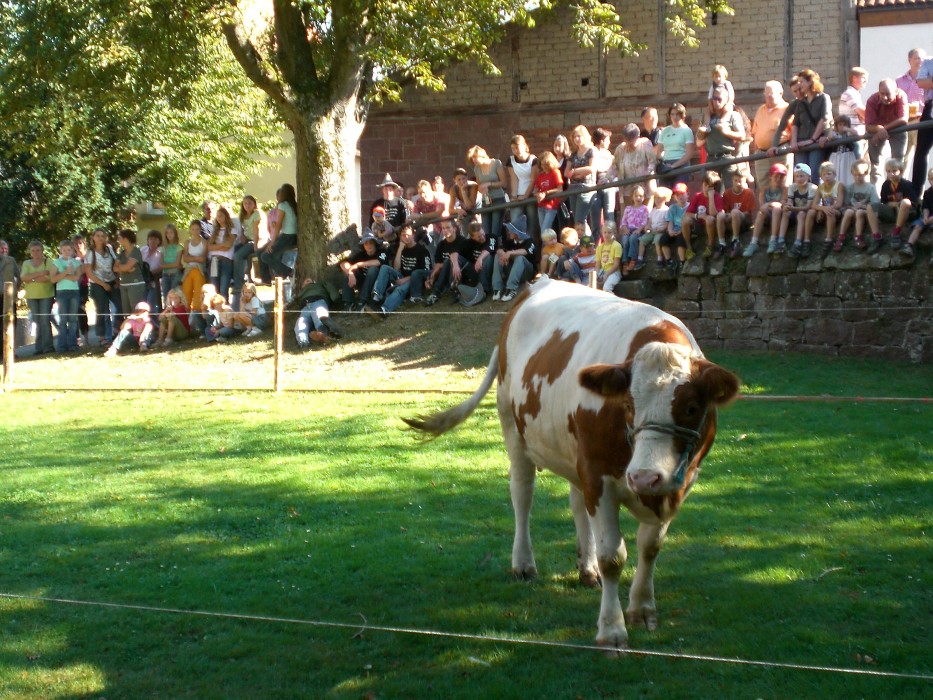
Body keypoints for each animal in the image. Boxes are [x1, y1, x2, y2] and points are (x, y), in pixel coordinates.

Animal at [404, 277, 740, 648]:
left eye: (691, 407)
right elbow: (613, 557)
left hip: (573, 453)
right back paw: (524, 564)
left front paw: (642, 608)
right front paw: (612, 630)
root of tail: (537, 284)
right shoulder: (598, 476)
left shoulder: (679, 483)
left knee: (577, 505)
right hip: (513, 426)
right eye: (627, 405)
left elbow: (650, 547)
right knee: (522, 494)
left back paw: (586, 570)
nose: (644, 477)